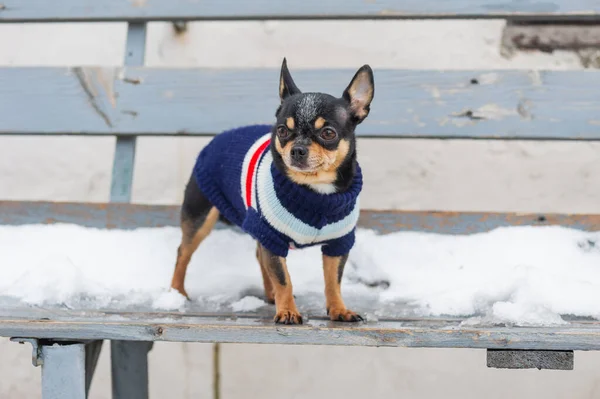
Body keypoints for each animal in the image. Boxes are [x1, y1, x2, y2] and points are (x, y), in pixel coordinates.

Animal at [170, 57, 376, 324]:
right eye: (282, 131)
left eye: (328, 133)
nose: (297, 149)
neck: (314, 192)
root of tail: (220, 136)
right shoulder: (273, 236)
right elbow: (283, 277)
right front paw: (287, 311)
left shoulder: (338, 244)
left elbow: (333, 281)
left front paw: (339, 309)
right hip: (200, 216)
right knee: (183, 252)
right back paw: (176, 292)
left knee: (260, 256)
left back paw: (270, 295)